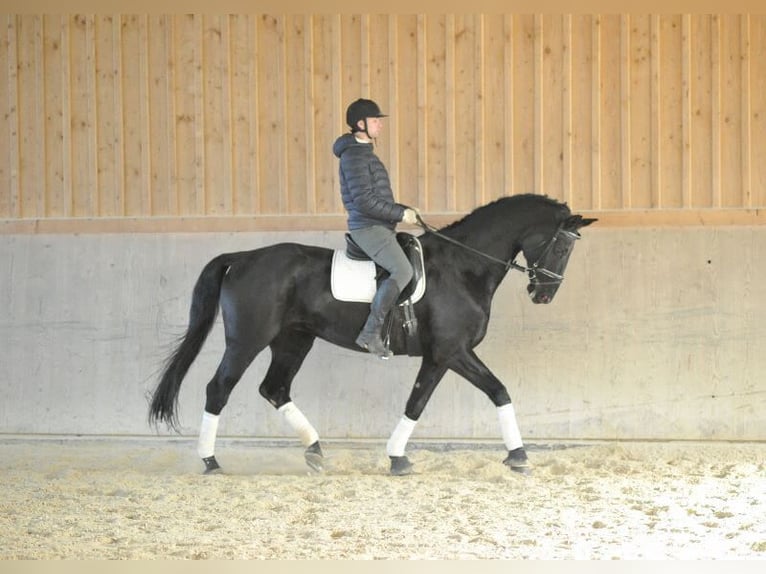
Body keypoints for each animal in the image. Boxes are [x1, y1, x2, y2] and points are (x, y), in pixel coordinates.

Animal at [147, 195, 596, 476]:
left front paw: (398, 458)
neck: (463, 266)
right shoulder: (451, 352)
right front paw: (518, 456)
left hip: (294, 340)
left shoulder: (440, 356)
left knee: (274, 388)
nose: (543, 294)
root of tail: (242, 257)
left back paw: (315, 453)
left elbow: (423, 402)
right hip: (247, 341)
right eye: (562, 248)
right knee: (218, 388)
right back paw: (211, 461)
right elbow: (492, 392)